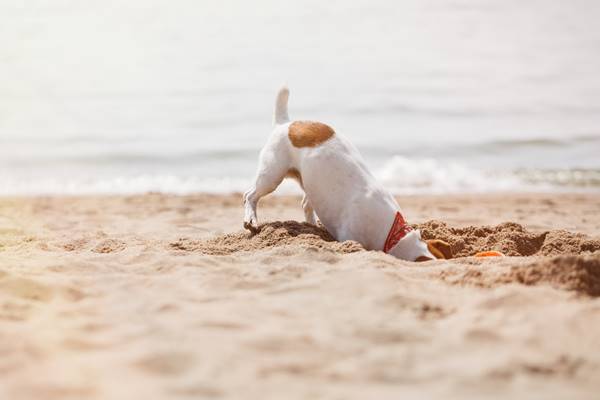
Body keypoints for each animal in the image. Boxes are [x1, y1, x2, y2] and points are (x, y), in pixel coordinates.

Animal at [243, 87, 450, 260]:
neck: (393, 234)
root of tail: (285, 124)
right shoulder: (350, 236)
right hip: (272, 175)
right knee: (250, 195)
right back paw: (251, 219)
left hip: (309, 184)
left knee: (306, 204)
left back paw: (312, 226)